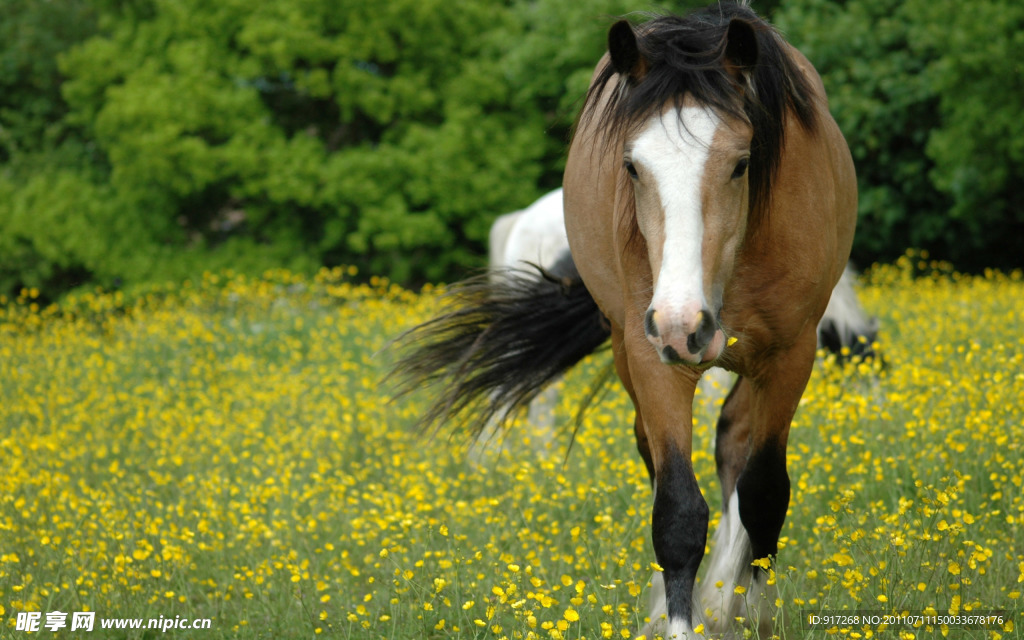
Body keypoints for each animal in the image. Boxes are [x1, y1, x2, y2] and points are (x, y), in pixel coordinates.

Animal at [392, 4, 858, 637]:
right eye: (632, 167)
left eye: (742, 163)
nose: (685, 323)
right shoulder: (654, 356)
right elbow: (677, 511)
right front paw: (681, 618)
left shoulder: (790, 355)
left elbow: (763, 493)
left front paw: (749, 611)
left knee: (734, 446)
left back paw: (724, 598)